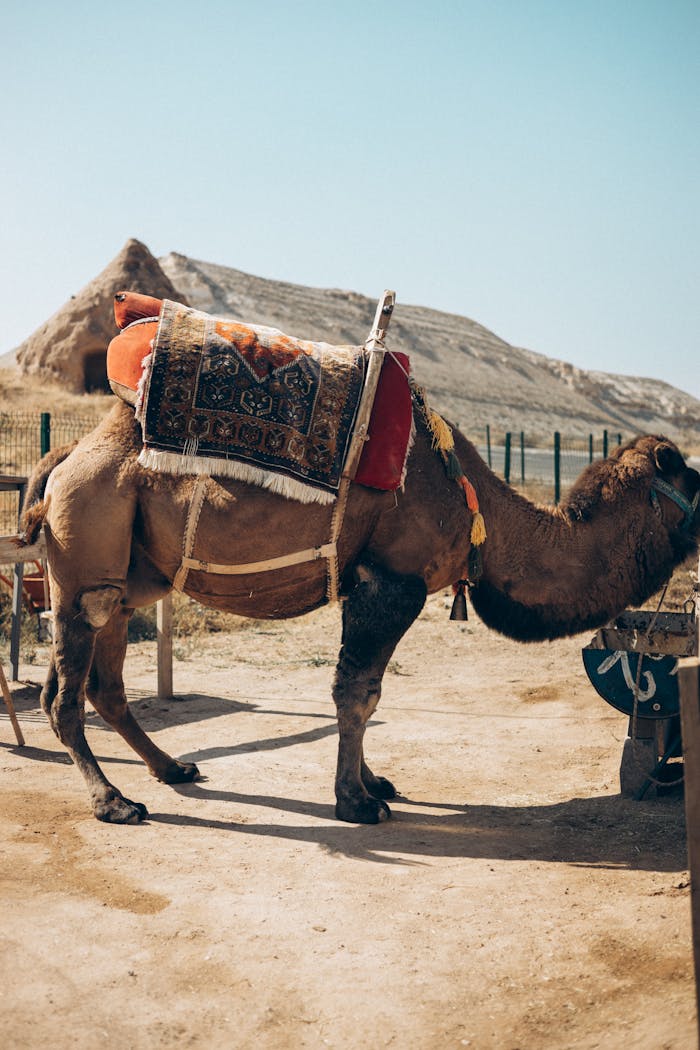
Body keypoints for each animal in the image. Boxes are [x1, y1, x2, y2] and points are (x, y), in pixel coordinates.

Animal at [19, 396, 696, 823]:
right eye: (693, 478)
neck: (479, 509)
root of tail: (64, 458)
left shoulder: (368, 587)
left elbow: (367, 695)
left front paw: (373, 782)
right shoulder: (390, 583)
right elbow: (357, 695)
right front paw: (357, 802)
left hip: (125, 577)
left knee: (100, 685)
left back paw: (172, 770)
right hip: (87, 556)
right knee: (65, 697)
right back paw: (114, 803)